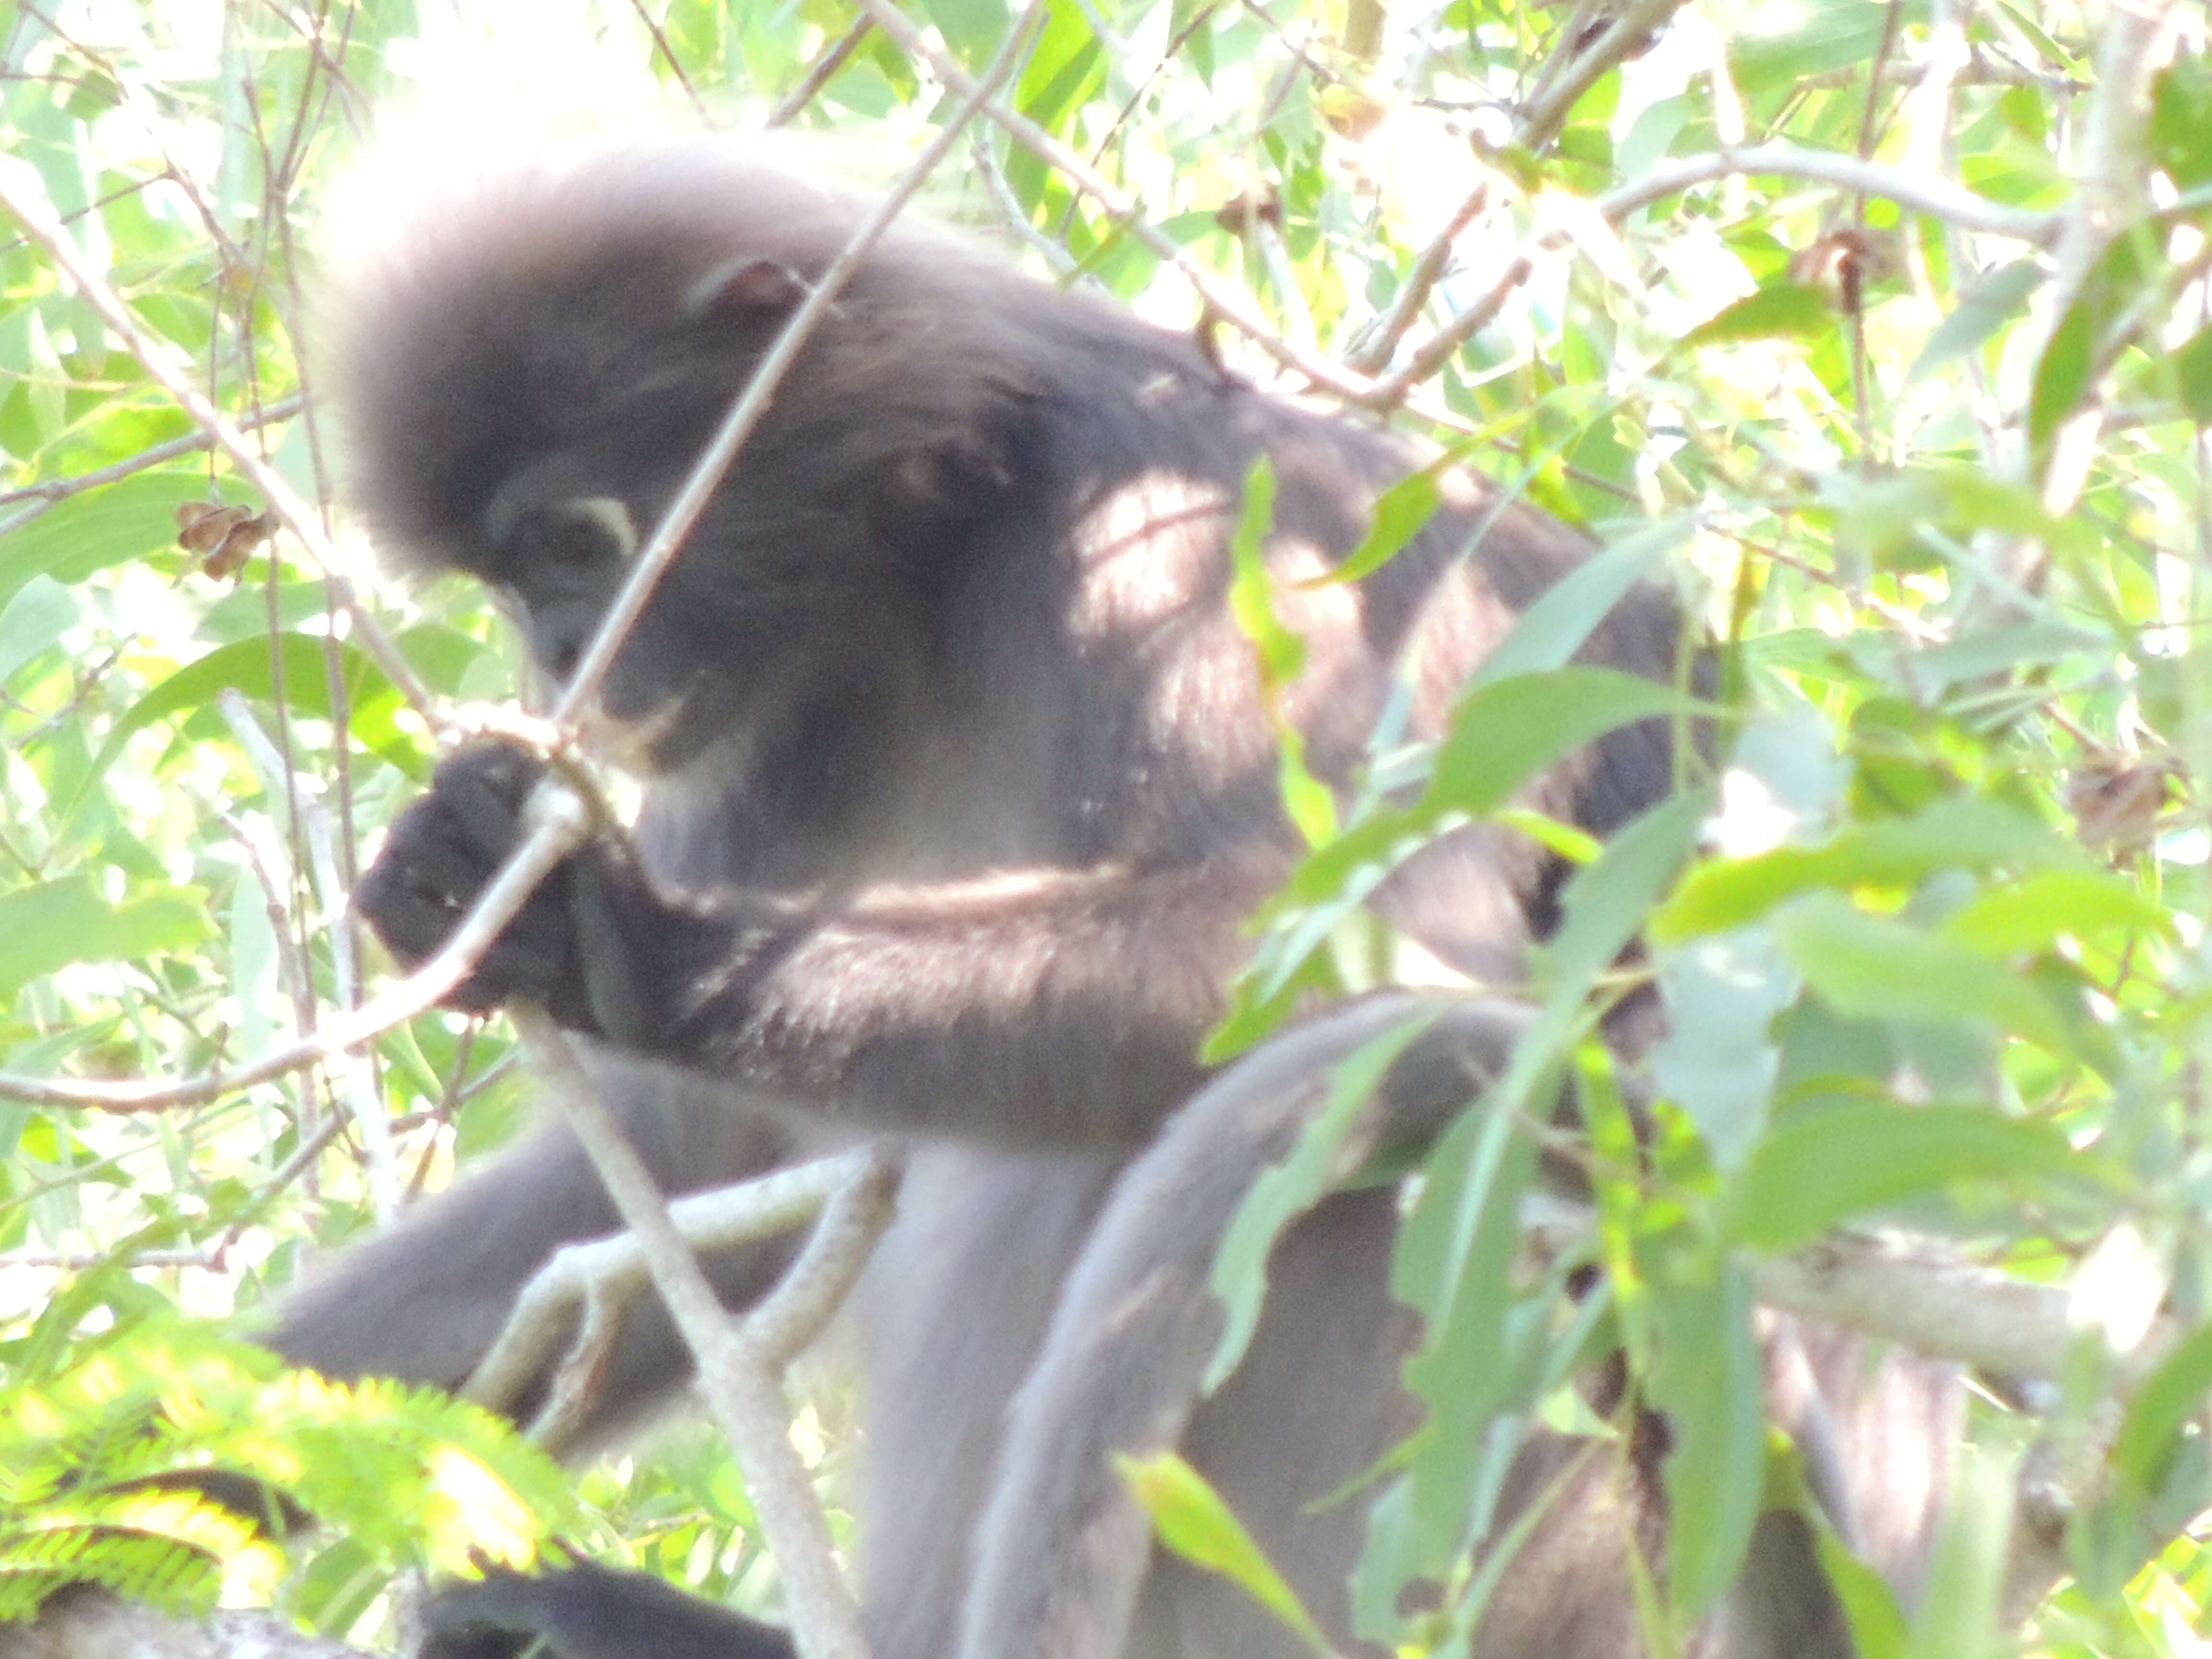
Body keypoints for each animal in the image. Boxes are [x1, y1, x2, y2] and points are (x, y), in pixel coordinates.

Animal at [267, 146, 1964, 1659]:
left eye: (576, 540)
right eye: (505, 587)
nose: (560, 656)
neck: (930, 556)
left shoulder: (1180, 545)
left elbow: (1374, 959)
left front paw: (619, 935)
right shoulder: (766, 726)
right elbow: (691, 1155)